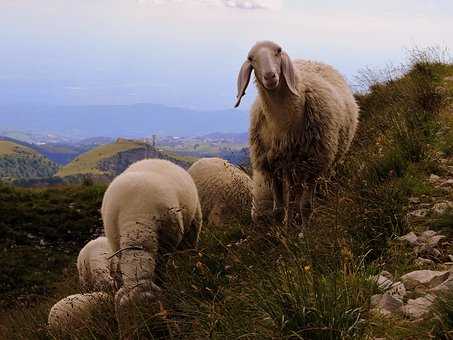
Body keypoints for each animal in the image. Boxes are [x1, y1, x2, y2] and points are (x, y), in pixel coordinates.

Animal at [235, 41, 358, 230]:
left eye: (278, 51)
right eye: (251, 58)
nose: (270, 76)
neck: (283, 124)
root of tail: (314, 61)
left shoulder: (314, 163)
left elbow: (306, 206)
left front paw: (305, 231)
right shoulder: (272, 165)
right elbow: (279, 209)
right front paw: (282, 232)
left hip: (324, 159)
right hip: (292, 166)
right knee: (293, 197)